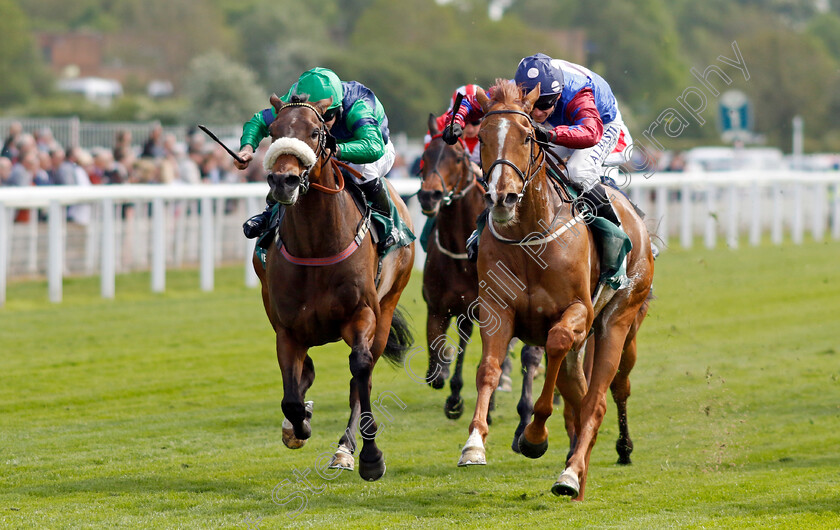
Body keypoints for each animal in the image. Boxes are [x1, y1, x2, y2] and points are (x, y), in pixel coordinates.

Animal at [254, 94, 416, 478]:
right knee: (308, 374)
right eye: (273, 131)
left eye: (315, 132)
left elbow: (359, 369)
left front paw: (371, 457)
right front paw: (297, 427)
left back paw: (346, 449)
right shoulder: (287, 330)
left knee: (362, 375)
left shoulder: (362, 314)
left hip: (387, 307)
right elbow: (291, 398)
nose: (283, 181)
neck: (317, 245)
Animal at [418, 114, 544, 450]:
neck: (460, 252)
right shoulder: (439, 307)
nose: (429, 195)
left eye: (458, 158)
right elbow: (438, 361)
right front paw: (452, 391)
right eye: (424, 156)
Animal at [460, 80, 656, 498]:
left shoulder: (577, 311)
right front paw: (474, 444)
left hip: (619, 321)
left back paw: (577, 472)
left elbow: (557, 342)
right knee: (579, 396)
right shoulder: (496, 309)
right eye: (481, 137)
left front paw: (534, 436)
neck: (530, 235)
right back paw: (576, 469)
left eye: (528, 136)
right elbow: (488, 368)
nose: (502, 197)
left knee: (602, 396)